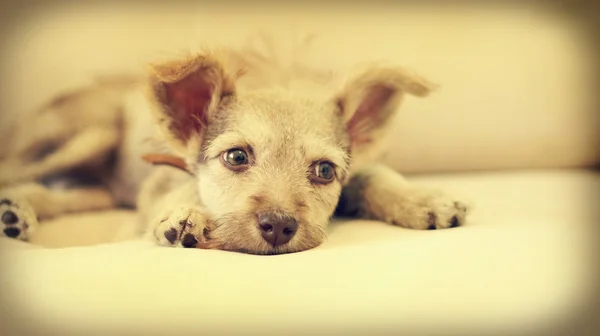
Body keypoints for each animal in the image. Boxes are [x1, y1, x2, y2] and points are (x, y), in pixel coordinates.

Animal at [0, 35, 468, 253]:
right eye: (237, 156)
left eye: (324, 171)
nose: (278, 227)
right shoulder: (166, 175)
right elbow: (183, 189)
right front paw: (184, 215)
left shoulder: (359, 167)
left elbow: (375, 175)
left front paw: (424, 199)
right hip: (87, 137)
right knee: (21, 173)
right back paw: (14, 208)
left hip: (95, 183)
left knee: (63, 192)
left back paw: (18, 213)